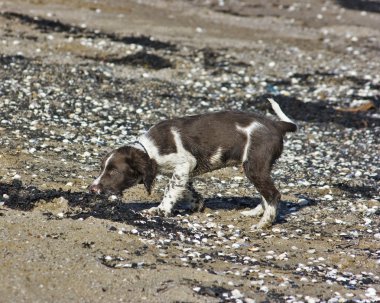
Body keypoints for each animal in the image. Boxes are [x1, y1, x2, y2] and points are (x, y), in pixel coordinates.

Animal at [89, 100, 296, 230]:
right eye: (101, 168)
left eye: (114, 171)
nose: (92, 189)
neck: (150, 151)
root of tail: (277, 125)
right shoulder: (184, 171)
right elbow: (185, 188)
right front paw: (197, 203)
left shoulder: (184, 163)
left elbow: (170, 189)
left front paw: (160, 210)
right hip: (257, 168)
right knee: (265, 193)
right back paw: (254, 213)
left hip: (254, 165)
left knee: (273, 194)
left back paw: (264, 223)